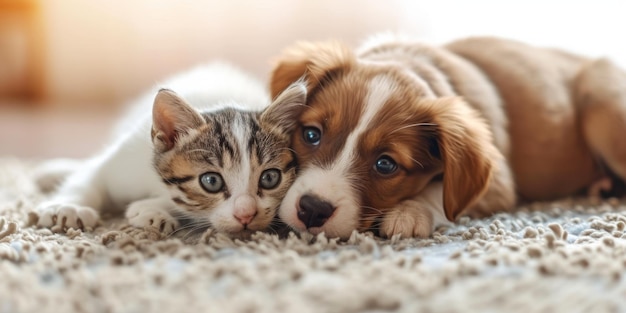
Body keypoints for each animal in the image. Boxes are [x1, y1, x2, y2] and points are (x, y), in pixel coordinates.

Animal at [34, 61, 304, 236]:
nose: (246, 215)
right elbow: (90, 177)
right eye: (211, 181)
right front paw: (67, 208)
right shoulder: (126, 157)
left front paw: (150, 210)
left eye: (270, 178)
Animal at [268, 34, 624, 239]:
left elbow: (441, 191)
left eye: (385, 165)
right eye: (311, 134)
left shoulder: (499, 184)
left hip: (604, 109)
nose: (312, 210)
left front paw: (409, 212)